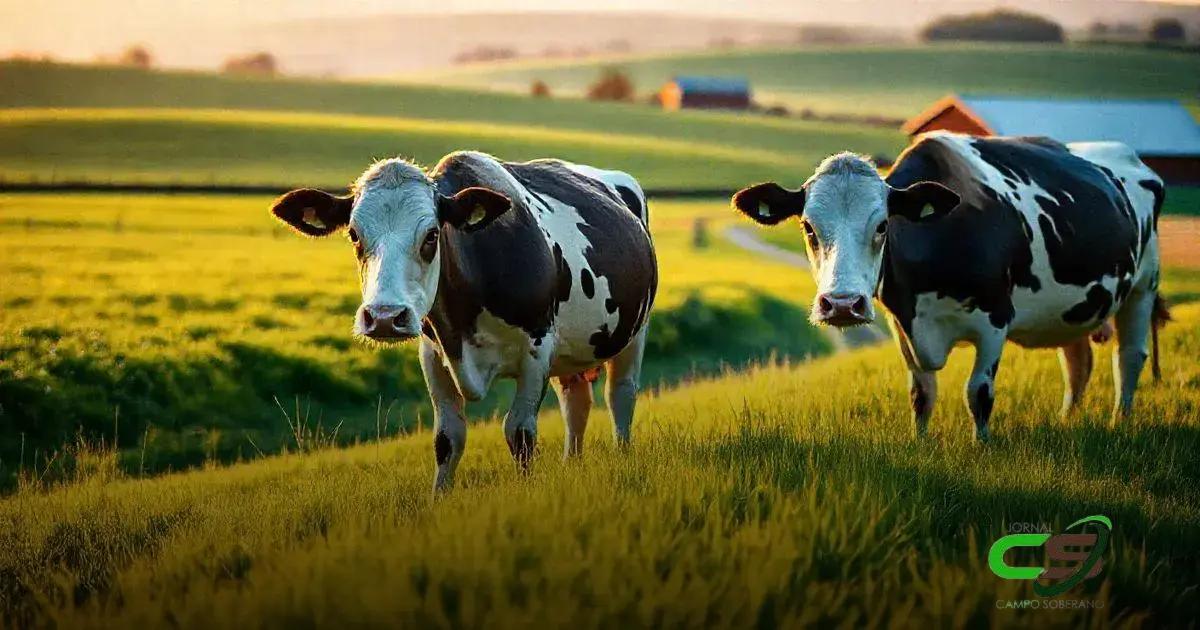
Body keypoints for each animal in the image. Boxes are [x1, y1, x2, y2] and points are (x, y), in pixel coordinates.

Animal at [270, 151, 657, 490]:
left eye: (431, 235)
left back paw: (622, 455)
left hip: (635, 332)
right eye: (354, 234)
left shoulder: (537, 346)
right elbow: (447, 439)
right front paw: (438, 498)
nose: (384, 317)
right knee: (576, 402)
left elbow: (520, 433)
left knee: (620, 395)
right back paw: (571, 464)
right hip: (572, 353)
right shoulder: (432, 354)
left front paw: (526, 493)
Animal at [732, 132, 1168, 441]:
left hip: (1143, 287)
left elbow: (978, 393)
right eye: (808, 227)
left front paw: (982, 447)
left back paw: (1118, 423)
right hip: (1071, 309)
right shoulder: (901, 325)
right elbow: (921, 394)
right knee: (1078, 363)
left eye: (883, 225)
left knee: (1129, 358)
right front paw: (919, 445)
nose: (842, 304)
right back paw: (1066, 421)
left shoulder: (995, 319)